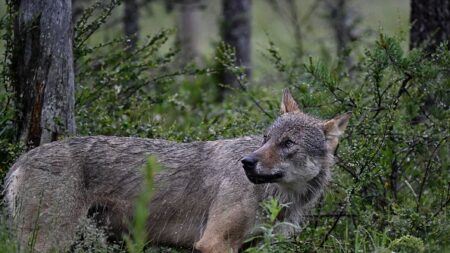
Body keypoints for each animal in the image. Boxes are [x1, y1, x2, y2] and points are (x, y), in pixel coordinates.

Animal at [4, 88, 352, 251]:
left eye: (287, 143)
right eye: (266, 139)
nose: (247, 162)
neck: (279, 198)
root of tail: (20, 160)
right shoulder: (214, 244)